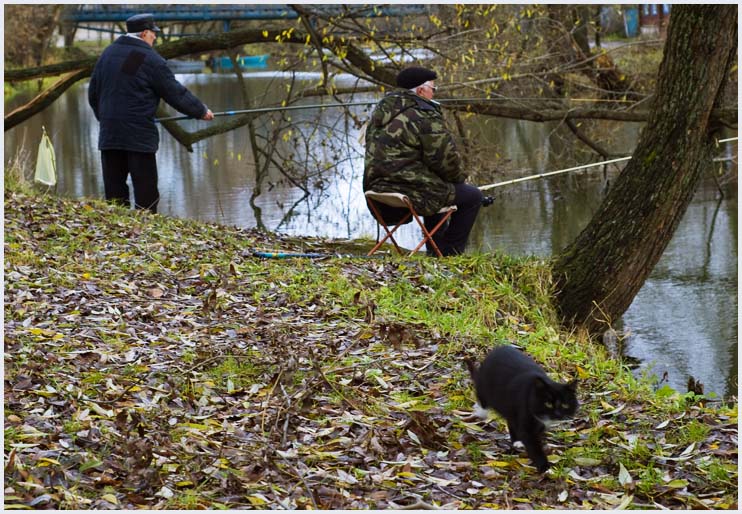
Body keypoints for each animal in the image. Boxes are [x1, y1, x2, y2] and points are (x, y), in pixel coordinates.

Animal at [464, 342, 580, 470]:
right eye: (548, 403)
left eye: (565, 404)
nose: (558, 414)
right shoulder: (525, 413)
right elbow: (532, 443)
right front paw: (544, 466)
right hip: (487, 386)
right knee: (483, 397)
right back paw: (481, 411)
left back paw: (517, 441)